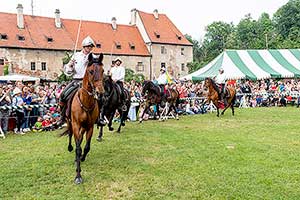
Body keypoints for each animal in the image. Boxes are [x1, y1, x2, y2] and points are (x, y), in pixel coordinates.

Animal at [61, 53, 103, 184]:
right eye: (90, 71)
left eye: (103, 71)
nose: (100, 92)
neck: (86, 102)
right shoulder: (76, 125)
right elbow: (78, 148)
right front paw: (78, 175)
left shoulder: (90, 127)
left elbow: (86, 147)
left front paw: (82, 158)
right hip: (70, 123)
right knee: (71, 135)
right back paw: (71, 148)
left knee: (80, 139)